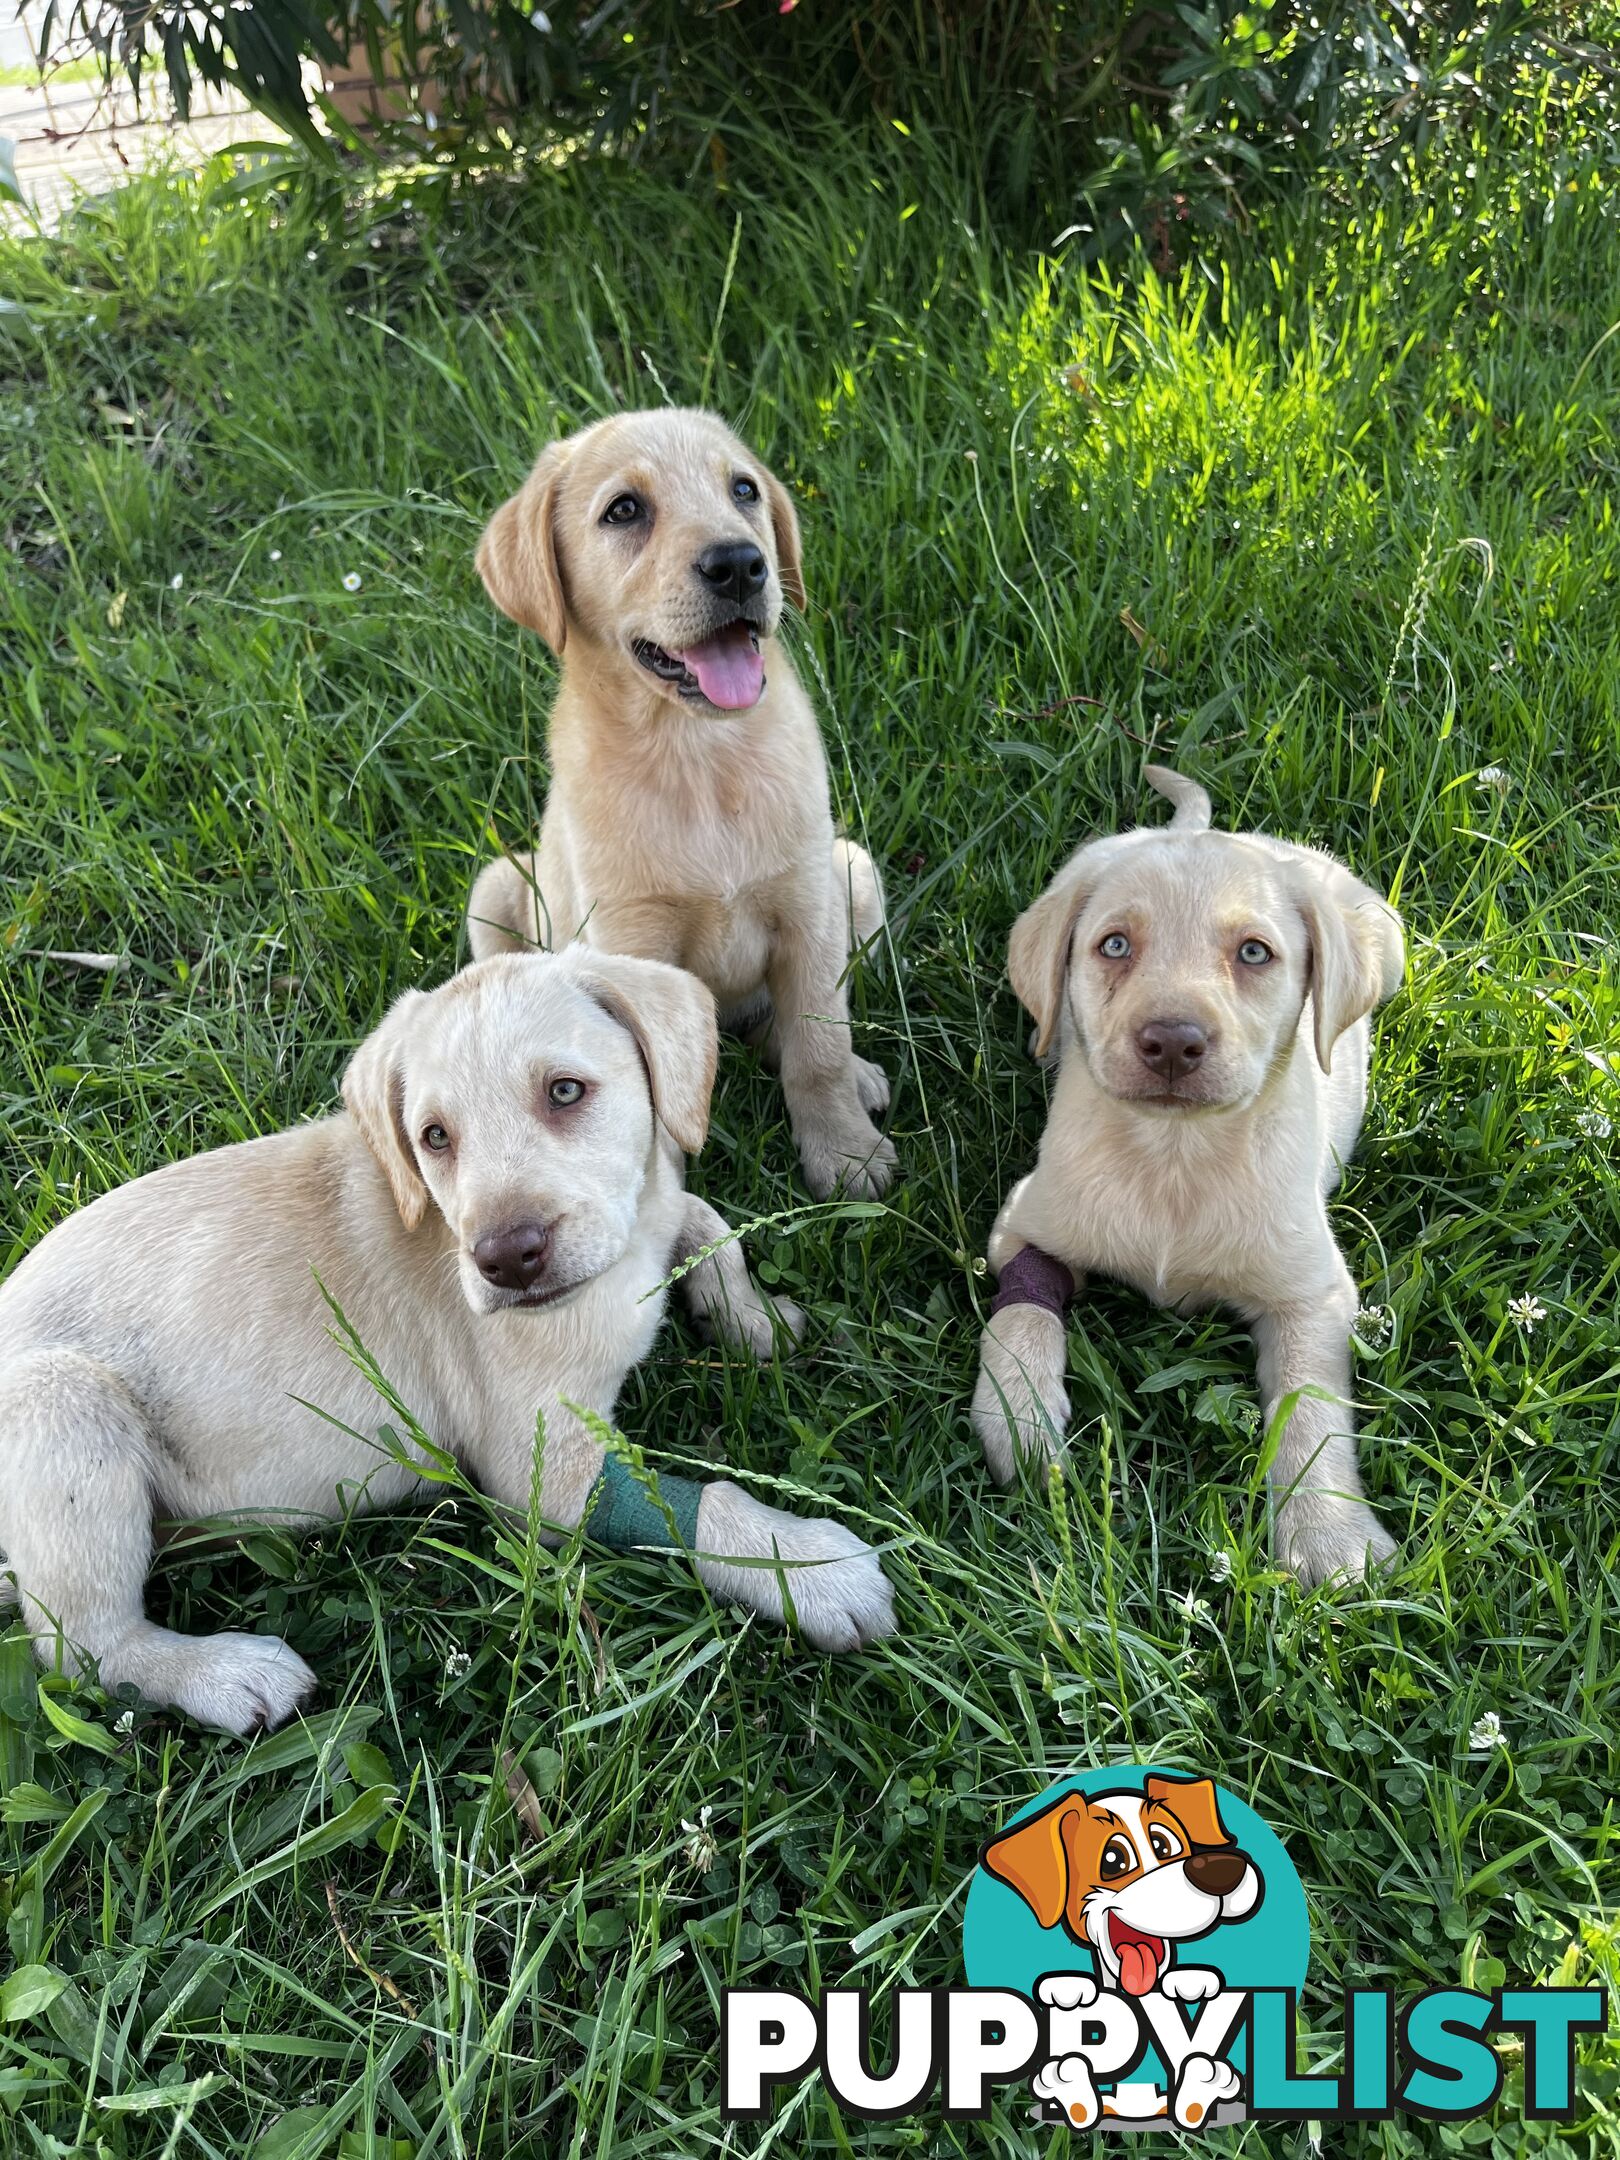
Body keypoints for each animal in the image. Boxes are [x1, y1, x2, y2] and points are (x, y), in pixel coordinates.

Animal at [468, 408, 902, 1200]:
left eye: (744, 491)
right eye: (623, 511)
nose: (740, 564)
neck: (698, 755)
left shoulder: (807, 909)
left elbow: (819, 1041)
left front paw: (846, 1154)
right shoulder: (628, 943)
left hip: (851, 873)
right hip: (497, 890)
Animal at [976, 768, 1408, 1581]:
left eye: (1255, 953)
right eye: (1114, 944)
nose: (1173, 1041)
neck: (1174, 1157)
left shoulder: (1313, 1294)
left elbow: (1310, 1407)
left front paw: (1327, 1534)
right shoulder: (1023, 1221)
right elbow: (1021, 1319)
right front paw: (1018, 1417)